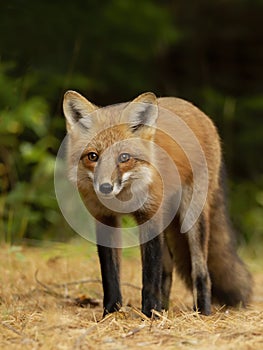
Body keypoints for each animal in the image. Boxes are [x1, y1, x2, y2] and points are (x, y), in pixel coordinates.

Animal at [62, 90, 254, 318]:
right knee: (168, 268)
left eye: (124, 157)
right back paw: (165, 308)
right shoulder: (104, 219)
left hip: (192, 218)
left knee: (201, 271)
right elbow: (110, 276)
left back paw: (202, 312)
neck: (124, 198)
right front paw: (111, 314)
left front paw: (149, 314)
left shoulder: (150, 215)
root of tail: (195, 110)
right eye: (93, 156)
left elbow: (150, 276)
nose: (105, 187)